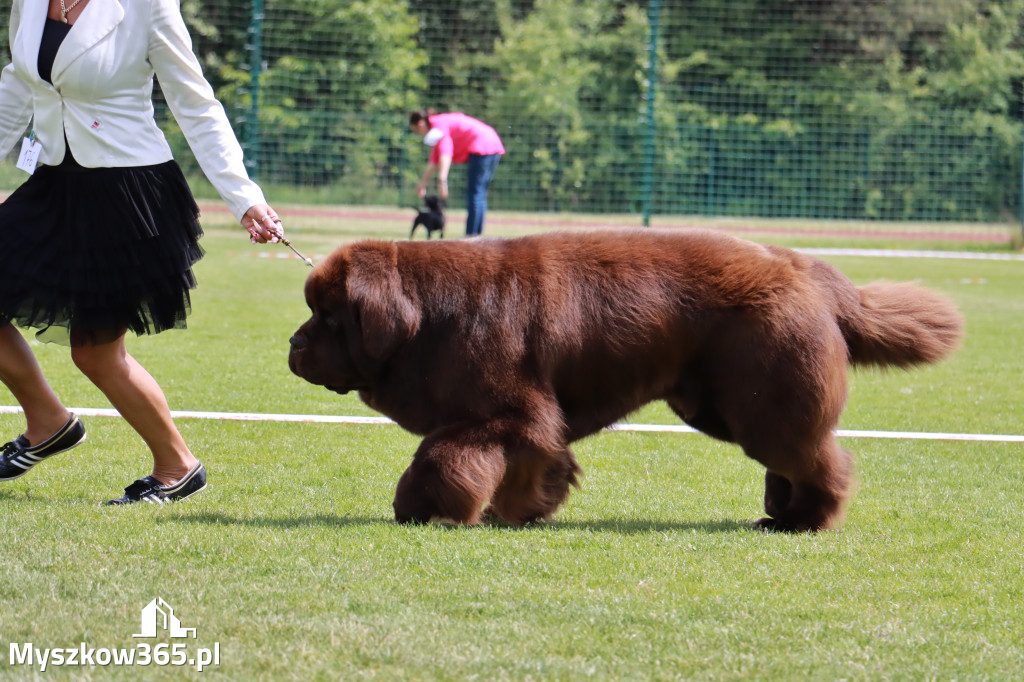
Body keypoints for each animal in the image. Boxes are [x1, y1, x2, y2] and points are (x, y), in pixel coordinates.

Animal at [286, 229, 958, 532]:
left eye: (328, 316)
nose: (292, 344)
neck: (426, 314)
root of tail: (808, 270)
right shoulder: (531, 420)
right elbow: (539, 462)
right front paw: (525, 510)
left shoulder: (499, 413)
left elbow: (441, 460)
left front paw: (423, 509)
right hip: (724, 404)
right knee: (796, 456)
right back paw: (781, 512)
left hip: (763, 398)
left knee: (818, 458)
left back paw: (806, 519)